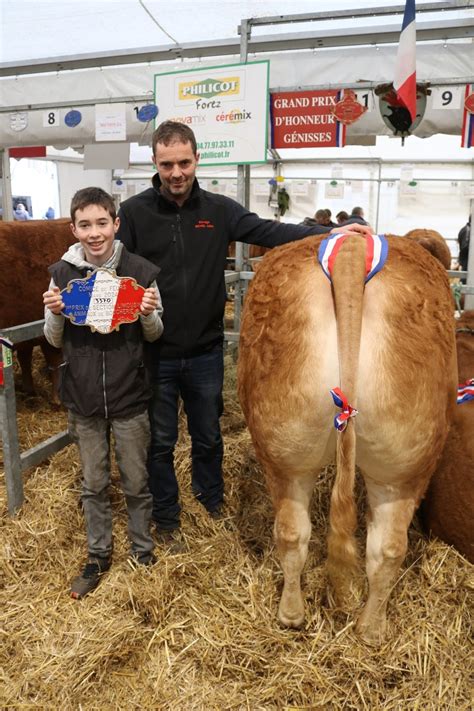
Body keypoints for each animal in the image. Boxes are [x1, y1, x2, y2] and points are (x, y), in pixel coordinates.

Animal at [239, 232, 458, 644]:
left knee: (304, 535)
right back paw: (367, 629)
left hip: (290, 447)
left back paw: (305, 617)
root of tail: (354, 247)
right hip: (407, 465)